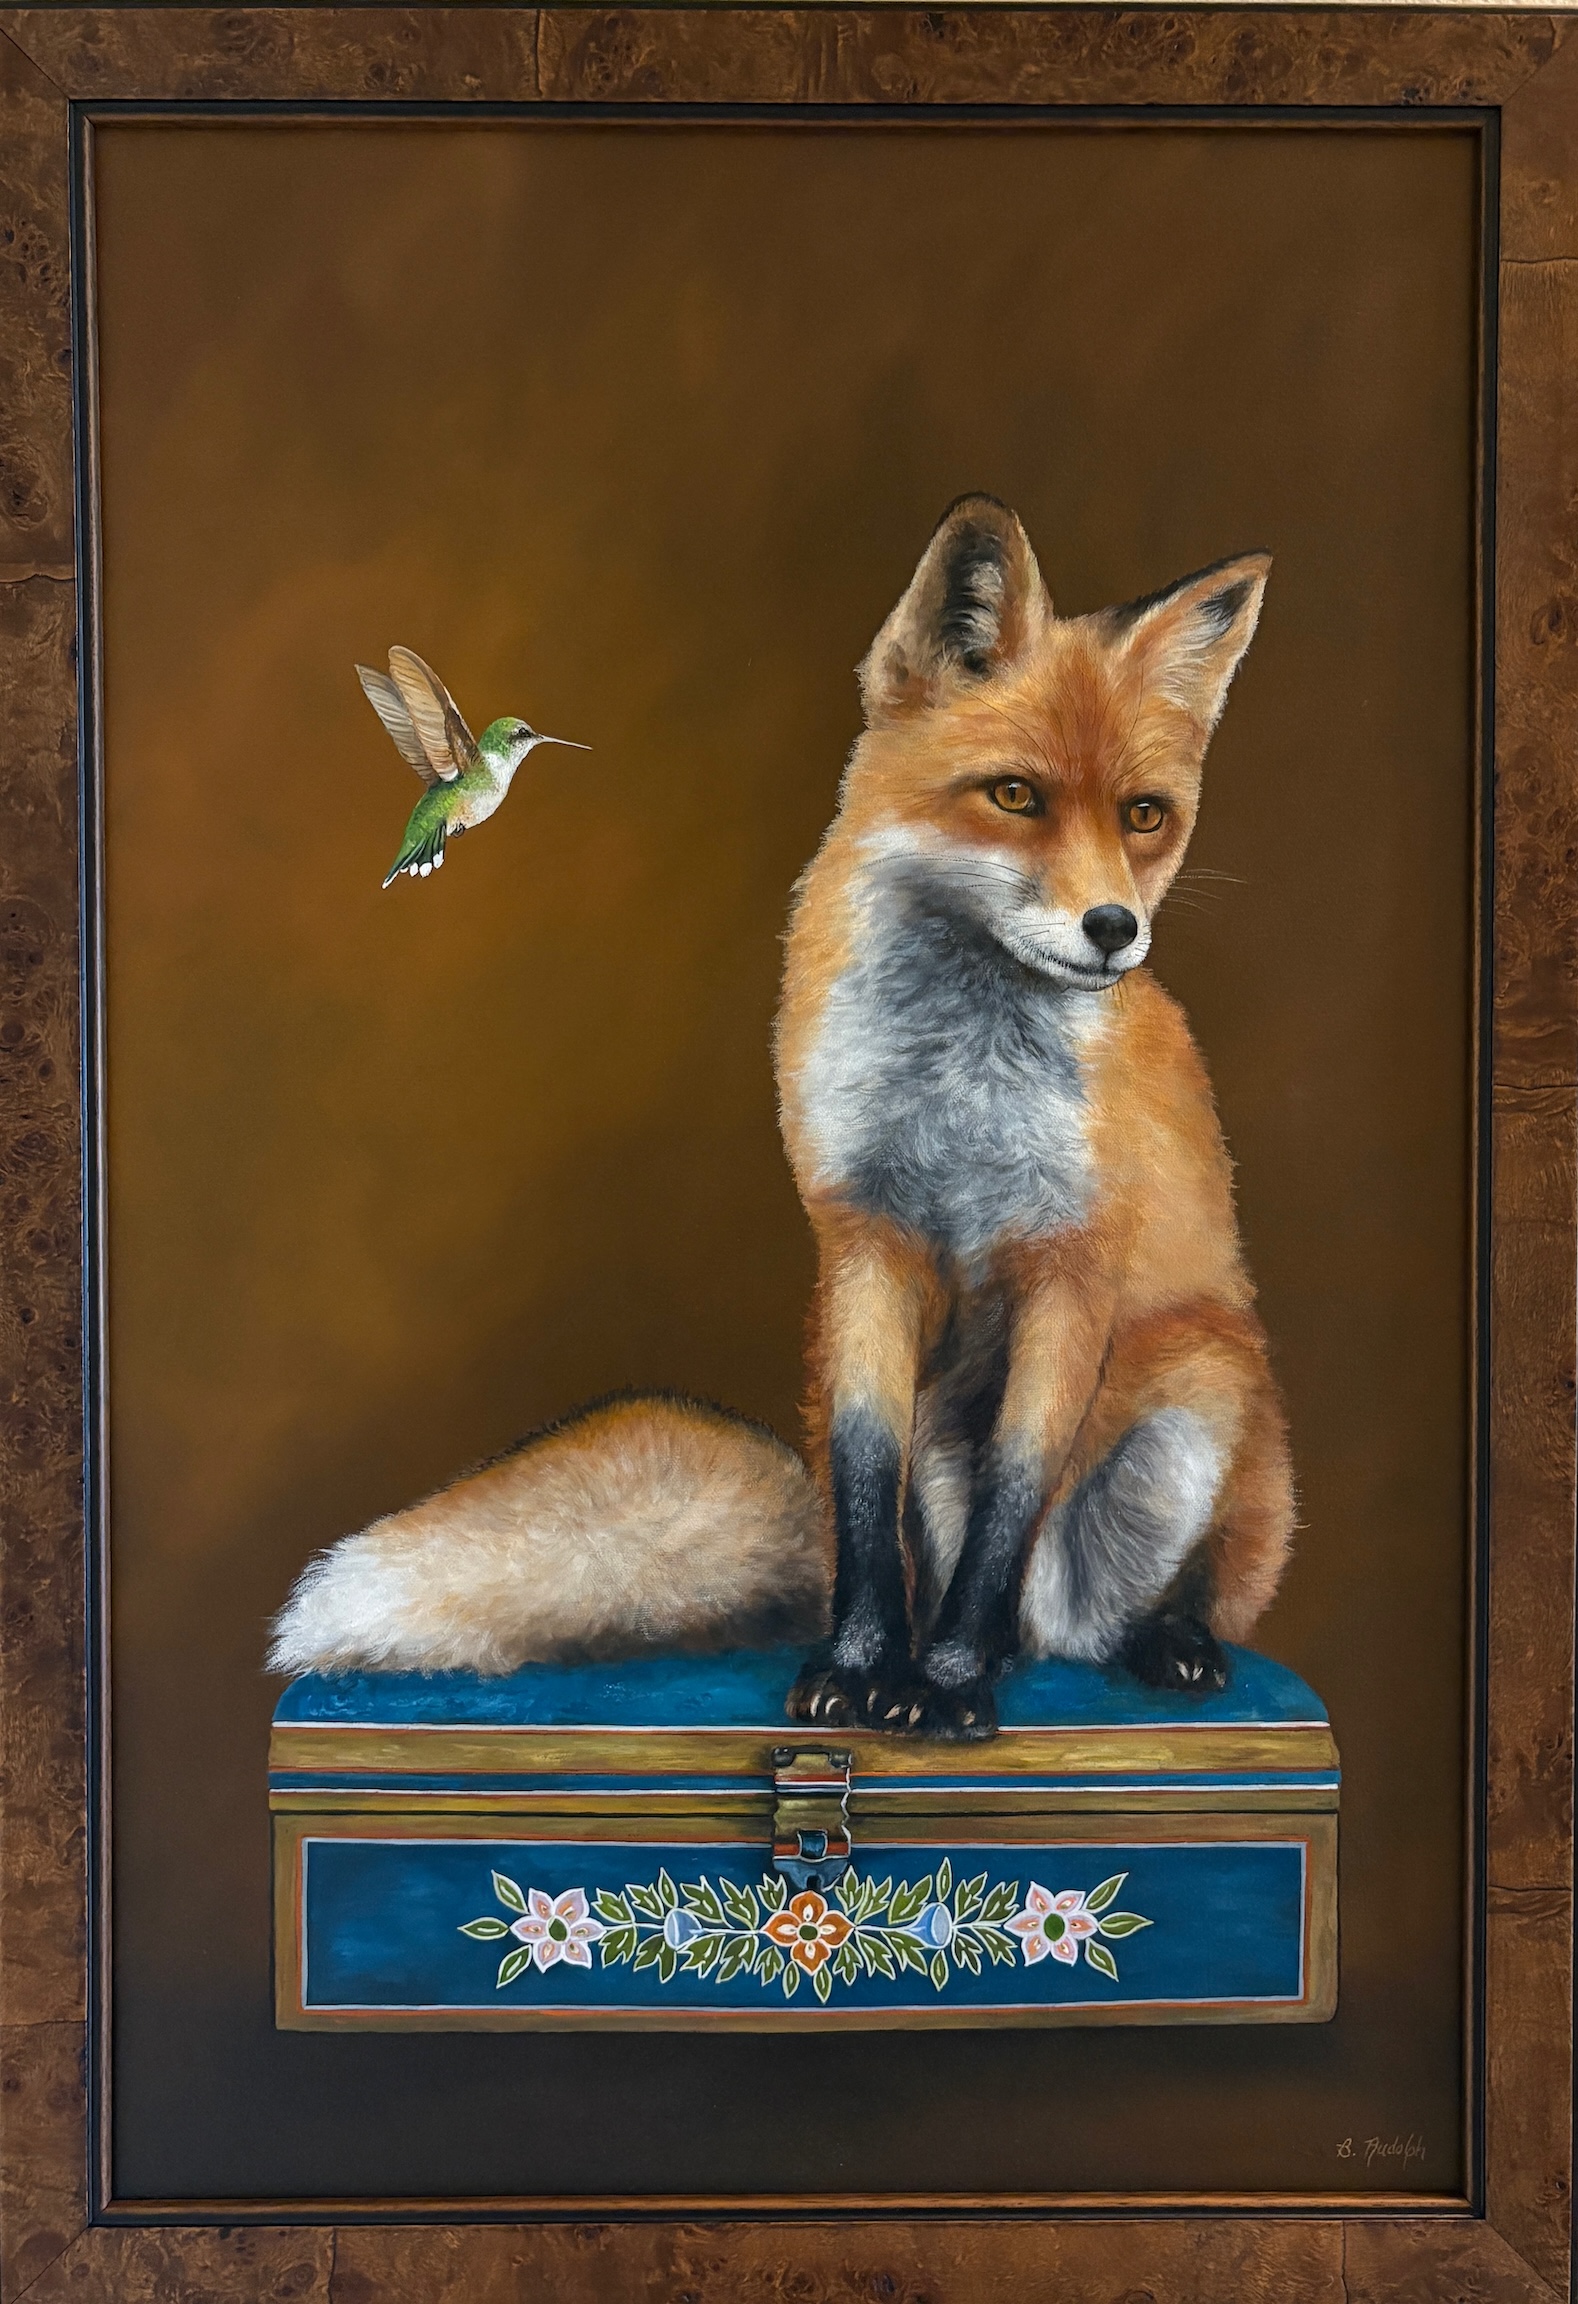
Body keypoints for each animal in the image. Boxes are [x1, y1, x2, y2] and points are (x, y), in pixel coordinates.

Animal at [269, 497, 1293, 1738]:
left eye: (1145, 816)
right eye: (1015, 796)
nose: (1113, 930)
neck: (956, 1081)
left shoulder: (1072, 1263)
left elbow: (1011, 1497)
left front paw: (946, 1686)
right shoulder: (863, 1243)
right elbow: (860, 1491)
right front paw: (862, 1669)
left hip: (1203, 1377)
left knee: (1132, 1595)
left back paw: (1153, 1642)